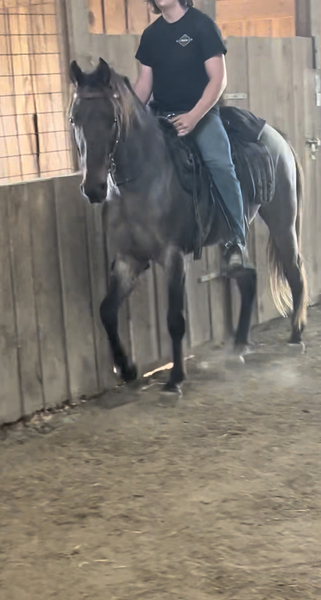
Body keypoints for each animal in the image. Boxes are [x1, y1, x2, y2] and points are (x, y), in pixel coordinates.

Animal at [69, 56, 306, 394]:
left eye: (111, 120)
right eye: (74, 119)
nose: (93, 188)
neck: (143, 178)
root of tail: (278, 138)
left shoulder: (173, 256)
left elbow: (174, 319)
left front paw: (175, 379)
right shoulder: (128, 259)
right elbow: (107, 310)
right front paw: (126, 368)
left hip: (283, 220)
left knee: (294, 271)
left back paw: (296, 336)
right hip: (234, 233)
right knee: (247, 277)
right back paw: (238, 347)